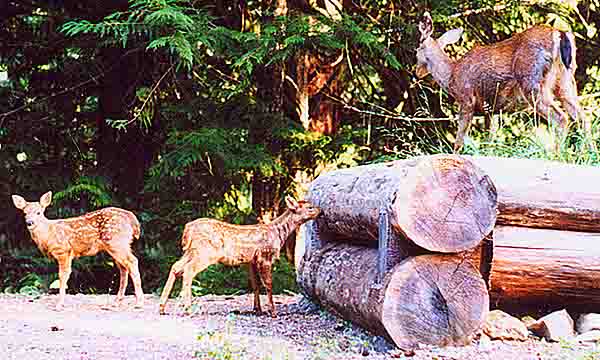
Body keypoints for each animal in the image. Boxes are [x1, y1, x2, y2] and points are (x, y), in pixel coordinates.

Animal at [12, 191, 144, 310]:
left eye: (38, 212)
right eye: (24, 213)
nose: (30, 222)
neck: (49, 234)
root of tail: (132, 219)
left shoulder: (63, 251)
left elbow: (63, 276)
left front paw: (59, 305)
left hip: (116, 242)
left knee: (132, 262)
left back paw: (139, 303)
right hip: (117, 245)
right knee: (123, 268)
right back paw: (116, 303)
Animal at [157, 197, 322, 318]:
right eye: (309, 207)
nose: (320, 210)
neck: (278, 233)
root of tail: (188, 229)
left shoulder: (251, 261)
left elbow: (255, 284)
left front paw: (258, 309)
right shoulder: (265, 256)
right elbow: (268, 284)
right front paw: (273, 312)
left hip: (190, 251)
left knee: (176, 266)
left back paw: (162, 307)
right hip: (206, 252)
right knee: (189, 270)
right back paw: (188, 308)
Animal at [414, 12, 584, 152]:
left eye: (417, 51)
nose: (417, 72)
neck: (451, 75)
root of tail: (560, 34)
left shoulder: (466, 99)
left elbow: (459, 141)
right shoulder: (490, 109)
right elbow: (489, 139)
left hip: (532, 81)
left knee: (561, 118)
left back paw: (555, 154)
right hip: (565, 80)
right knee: (581, 116)